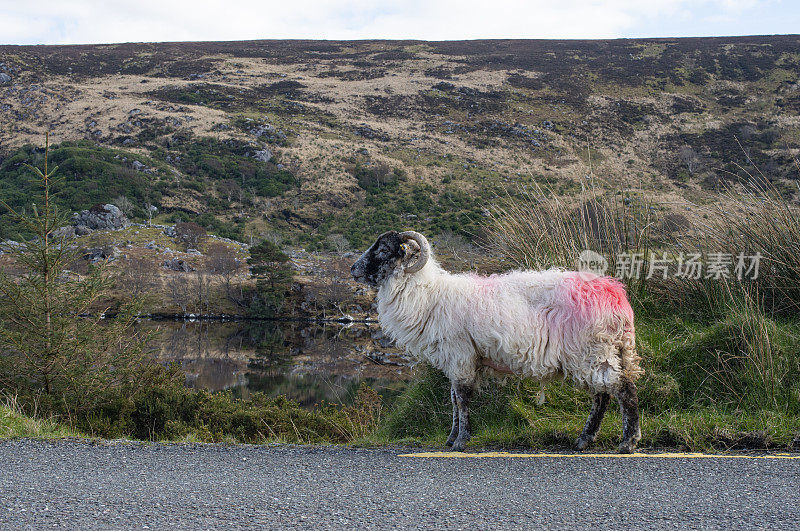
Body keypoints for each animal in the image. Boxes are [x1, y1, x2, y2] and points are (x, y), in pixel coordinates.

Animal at [350, 230, 644, 454]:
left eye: (383, 249)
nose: (353, 269)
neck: (428, 295)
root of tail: (615, 294)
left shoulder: (460, 353)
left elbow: (462, 398)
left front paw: (461, 441)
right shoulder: (457, 358)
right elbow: (453, 399)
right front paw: (451, 439)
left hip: (592, 349)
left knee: (622, 390)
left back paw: (627, 442)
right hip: (599, 351)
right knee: (603, 395)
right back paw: (585, 440)